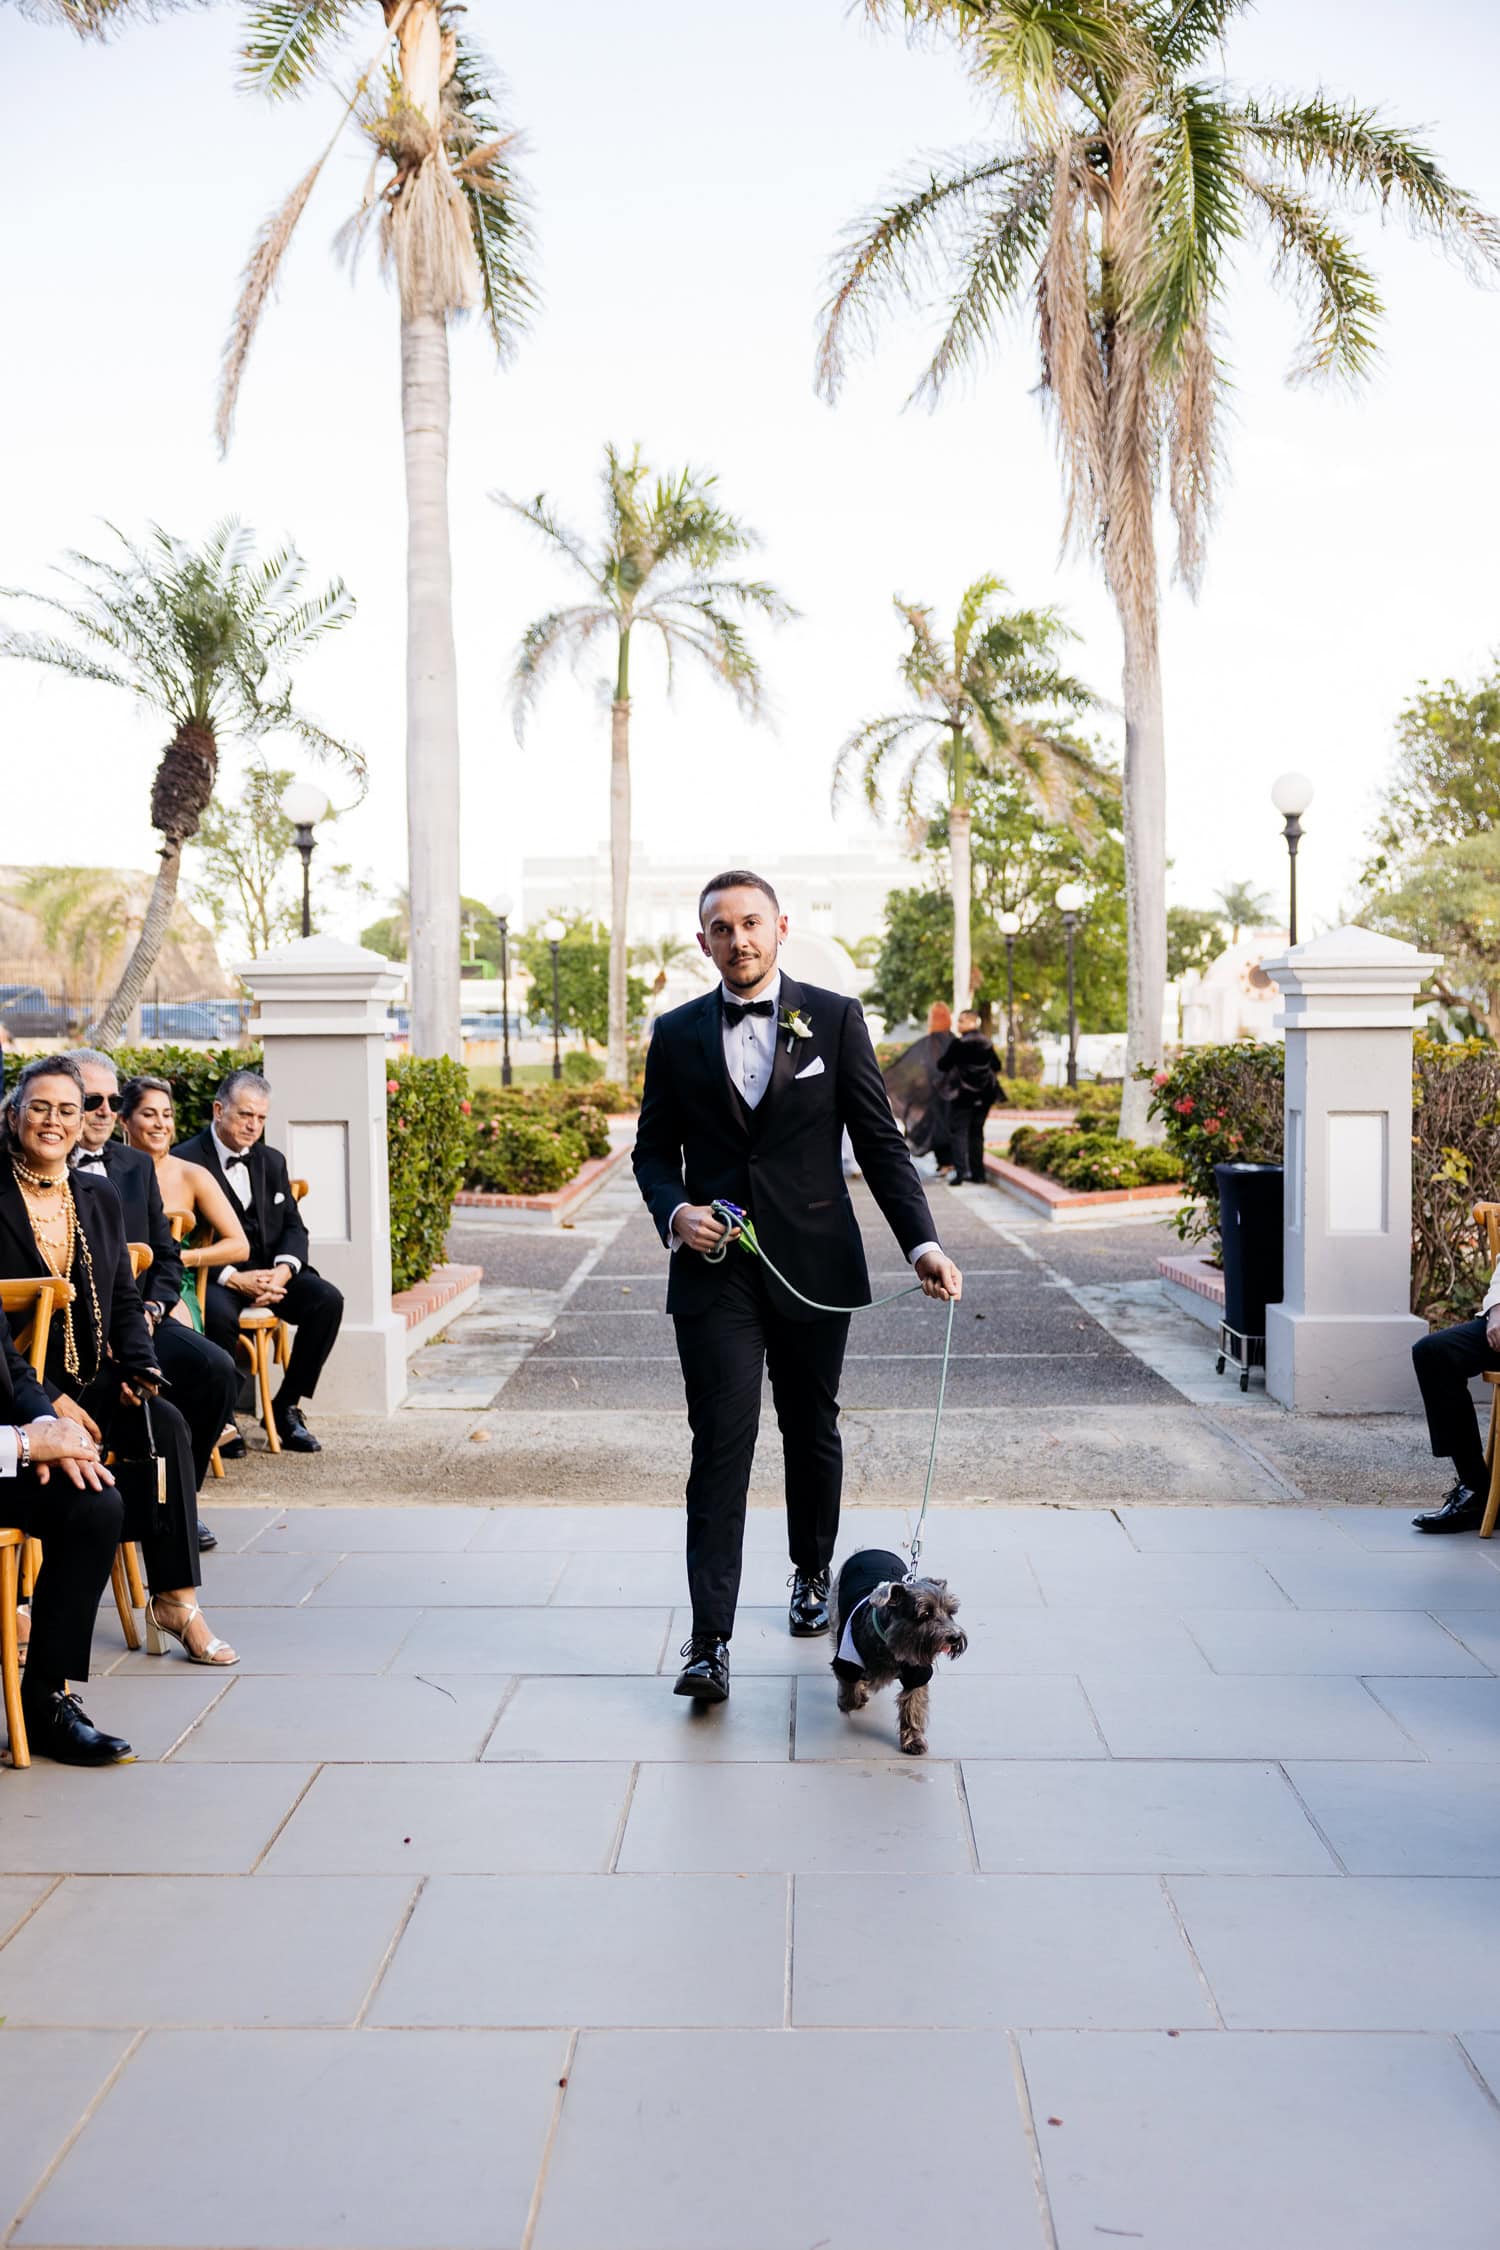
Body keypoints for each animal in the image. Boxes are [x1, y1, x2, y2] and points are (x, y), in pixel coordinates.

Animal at [827, 1548, 967, 1755]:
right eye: (926, 1614)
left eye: (951, 1612)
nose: (955, 1637)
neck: (890, 1643)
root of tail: (869, 1550)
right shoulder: (846, 1663)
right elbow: (850, 1693)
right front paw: (853, 1698)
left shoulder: (917, 1673)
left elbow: (912, 1706)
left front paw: (913, 1739)